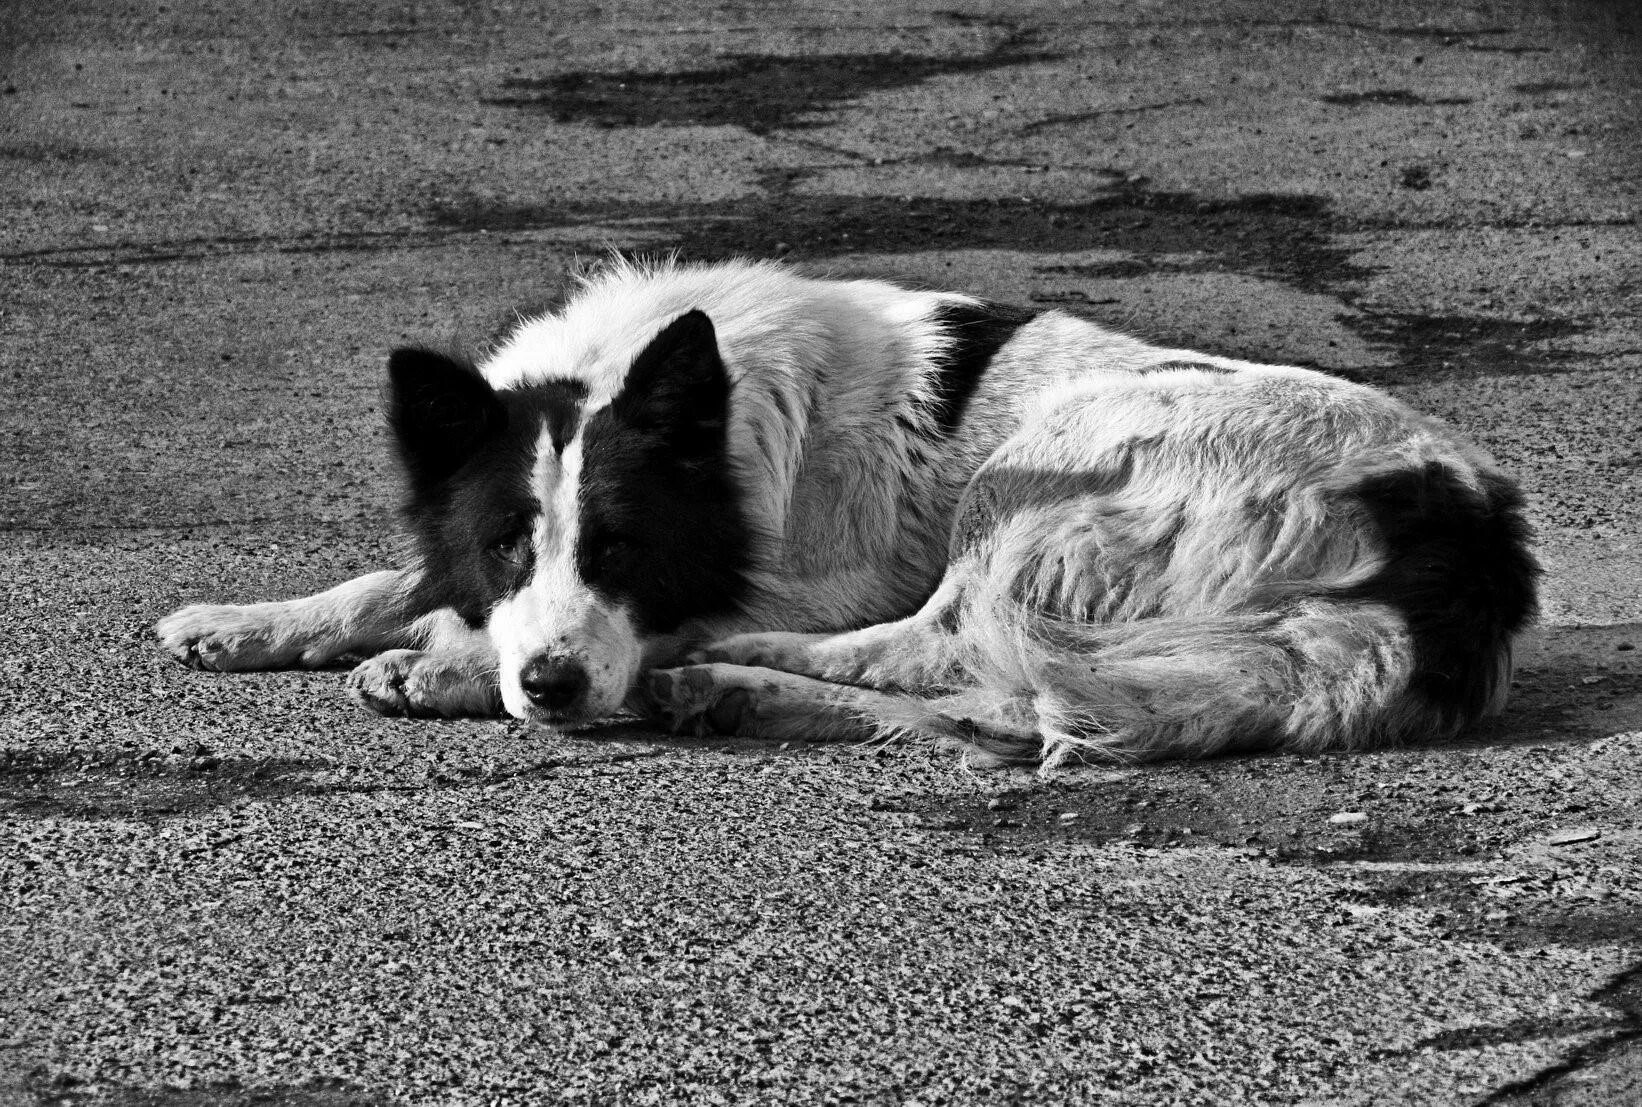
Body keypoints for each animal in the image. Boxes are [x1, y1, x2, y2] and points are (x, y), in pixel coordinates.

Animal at [154, 256, 1536, 768]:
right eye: (507, 543)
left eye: (620, 545)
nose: (546, 687)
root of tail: (1463, 534)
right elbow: (402, 575)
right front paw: (255, 619)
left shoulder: (790, 578)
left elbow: (647, 620)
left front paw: (442, 666)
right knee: (1000, 710)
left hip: (1037, 468)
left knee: (947, 663)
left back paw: (735, 677)